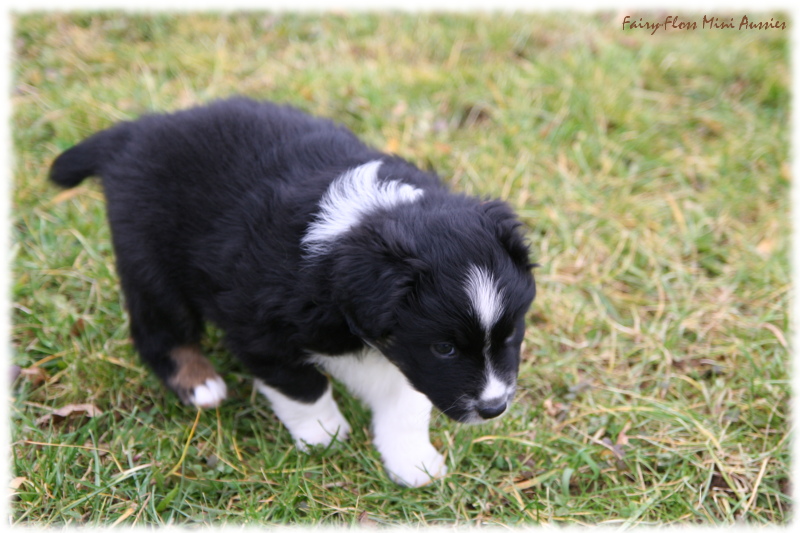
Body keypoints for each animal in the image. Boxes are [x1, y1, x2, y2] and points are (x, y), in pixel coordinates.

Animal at [50, 96, 536, 486]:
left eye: (512, 333)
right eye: (445, 348)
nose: (494, 408)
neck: (360, 228)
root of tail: (137, 131)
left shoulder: (399, 352)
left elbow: (404, 399)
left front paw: (413, 461)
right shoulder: (257, 326)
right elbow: (302, 385)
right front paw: (325, 434)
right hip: (151, 261)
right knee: (158, 330)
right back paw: (200, 383)